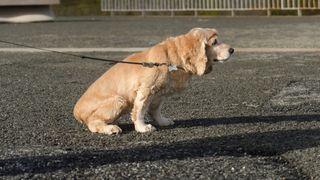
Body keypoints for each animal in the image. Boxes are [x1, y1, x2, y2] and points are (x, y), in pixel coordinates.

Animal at [74, 27, 234, 135]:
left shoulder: (159, 93)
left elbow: (155, 110)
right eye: (215, 42)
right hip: (119, 100)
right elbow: (139, 111)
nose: (232, 50)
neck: (171, 59)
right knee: (93, 123)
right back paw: (110, 128)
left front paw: (162, 121)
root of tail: (76, 111)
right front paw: (142, 128)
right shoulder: (146, 89)